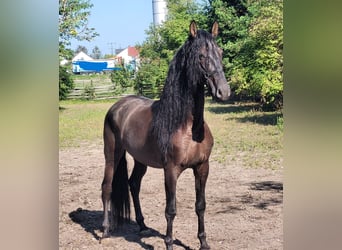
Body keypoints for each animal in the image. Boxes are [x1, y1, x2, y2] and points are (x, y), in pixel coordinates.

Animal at [100, 20, 231, 249]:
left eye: (220, 52)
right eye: (201, 56)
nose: (224, 92)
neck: (188, 126)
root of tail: (118, 105)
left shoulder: (202, 167)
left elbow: (200, 205)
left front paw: (203, 242)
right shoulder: (170, 170)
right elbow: (171, 209)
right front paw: (169, 243)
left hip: (140, 159)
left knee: (134, 184)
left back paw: (142, 225)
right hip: (112, 154)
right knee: (107, 187)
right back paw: (105, 230)